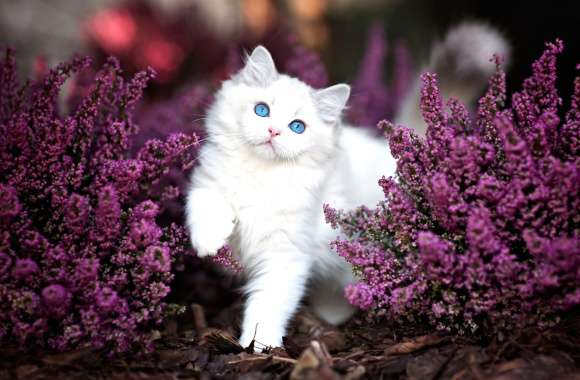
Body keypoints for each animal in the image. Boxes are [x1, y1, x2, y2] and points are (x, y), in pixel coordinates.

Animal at [188, 46, 396, 348]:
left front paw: (259, 345)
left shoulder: (285, 254)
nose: (273, 131)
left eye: (297, 127)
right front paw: (209, 243)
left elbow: (267, 305)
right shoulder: (207, 184)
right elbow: (207, 206)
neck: (260, 174)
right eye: (262, 110)